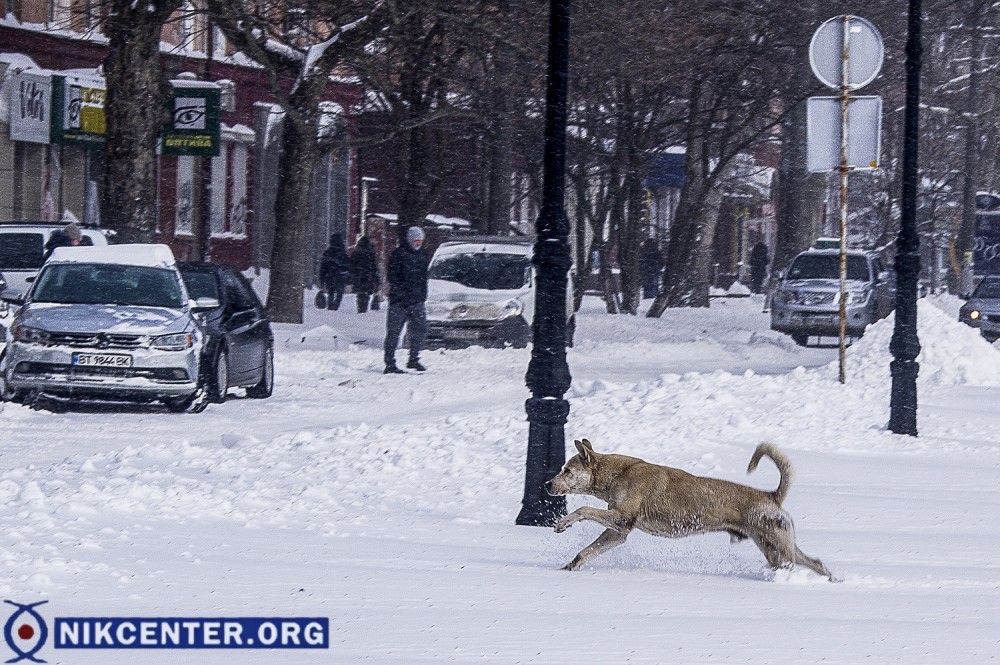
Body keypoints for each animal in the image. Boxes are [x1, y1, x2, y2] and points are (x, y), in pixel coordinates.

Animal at [544, 438, 832, 580]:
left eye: (566, 470)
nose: (547, 484)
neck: (617, 475)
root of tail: (771, 496)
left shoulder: (622, 518)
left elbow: (583, 509)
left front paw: (562, 523)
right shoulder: (618, 532)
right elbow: (587, 551)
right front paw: (568, 568)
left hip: (776, 548)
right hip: (779, 546)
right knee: (816, 563)